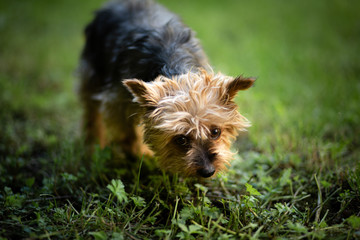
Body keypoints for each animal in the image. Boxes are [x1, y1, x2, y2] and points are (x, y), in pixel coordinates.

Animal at [79, 0, 255, 176]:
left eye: (216, 132)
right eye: (181, 139)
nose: (208, 171)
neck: (173, 64)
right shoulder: (117, 102)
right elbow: (128, 134)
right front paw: (140, 155)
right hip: (92, 70)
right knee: (91, 112)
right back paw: (93, 147)